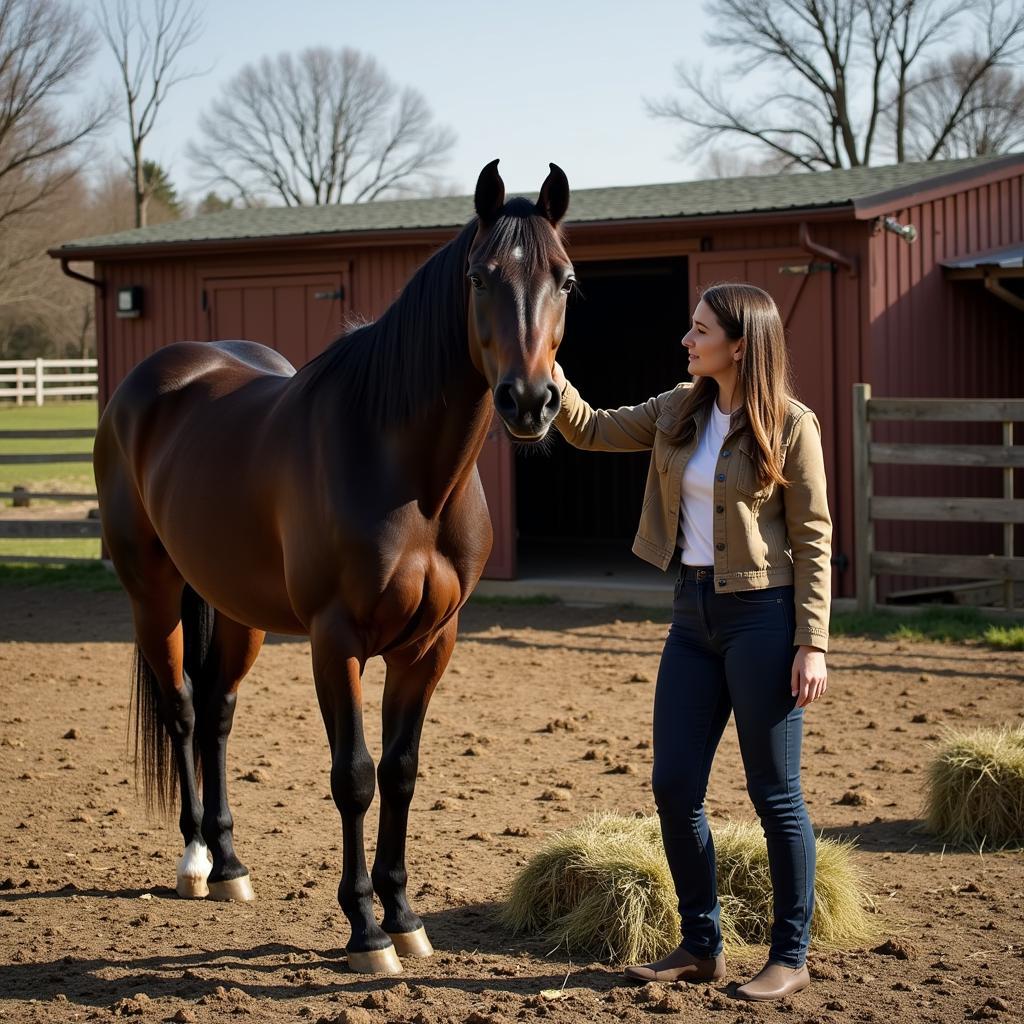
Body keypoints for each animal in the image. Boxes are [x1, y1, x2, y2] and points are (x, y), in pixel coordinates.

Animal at [94, 159, 577, 974]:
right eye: (480, 277)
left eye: (565, 279)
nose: (531, 401)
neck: (406, 469)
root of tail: (154, 379)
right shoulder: (336, 639)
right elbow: (353, 776)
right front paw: (365, 931)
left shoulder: (429, 645)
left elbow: (401, 772)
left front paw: (406, 917)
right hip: (151, 592)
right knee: (183, 709)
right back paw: (195, 859)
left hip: (236, 611)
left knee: (218, 712)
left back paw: (230, 864)